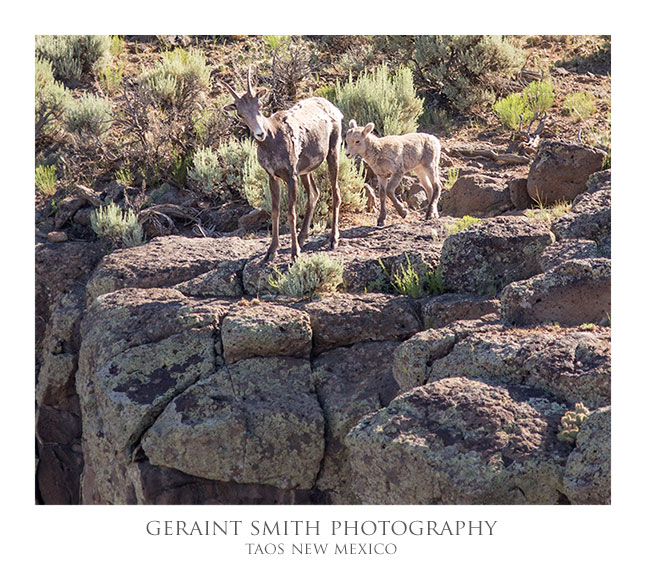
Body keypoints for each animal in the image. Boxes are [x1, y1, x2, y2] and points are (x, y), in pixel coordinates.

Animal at [221, 67, 346, 260]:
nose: (260, 134)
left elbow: (291, 213)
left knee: (336, 192)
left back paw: (333, 240)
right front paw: (270, 252)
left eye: (259, 105)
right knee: (314, 193)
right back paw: (302, 238)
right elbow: (275, 211)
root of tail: (336, 110)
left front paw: (295, 254)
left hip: (333, 151)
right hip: (306, 170)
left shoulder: (291, 175)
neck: (273, 141)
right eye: (240, 114)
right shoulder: (273, 176)